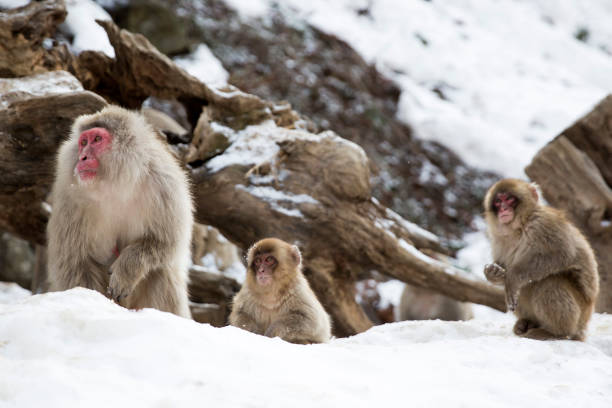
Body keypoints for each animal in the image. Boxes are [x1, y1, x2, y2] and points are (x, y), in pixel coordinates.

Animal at [46, 105, 192, 318]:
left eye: (97, 139)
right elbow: (74, 261)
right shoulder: (69, 199)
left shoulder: (164, 185)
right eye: (83, 143)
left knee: (160, 270)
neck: (116, 184)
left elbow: (165, 242)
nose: (82, 157)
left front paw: (126, 271)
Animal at [482, 178, 596, 342]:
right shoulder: (498, 238)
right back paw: (527, 323)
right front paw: (492, 273)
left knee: (548, 282)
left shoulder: (544, 223)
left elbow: (561, 254)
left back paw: (557, 333)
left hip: (581, 312)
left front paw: (513, 276)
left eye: (509, 199)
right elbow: (502, 265)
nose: (503, 209)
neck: (519, 227)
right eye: (498, 201)